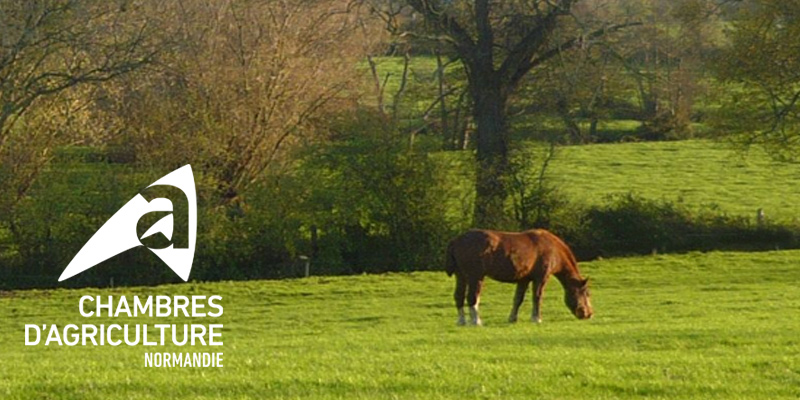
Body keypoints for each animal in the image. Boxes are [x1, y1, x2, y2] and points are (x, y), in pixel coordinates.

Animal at [445, 229, 593, 325]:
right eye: (586, 293)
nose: (588, 314)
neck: (552, 248)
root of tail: (456, 241)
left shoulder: (524, 279)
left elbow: (518, 299)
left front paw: (512, 318)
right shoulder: (541, 278)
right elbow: (537, 297)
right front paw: (536, 318)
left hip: (461, 276)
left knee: (458, 296)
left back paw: (462, 321)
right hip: (475, 277)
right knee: (472, 298)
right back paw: (476, 321)